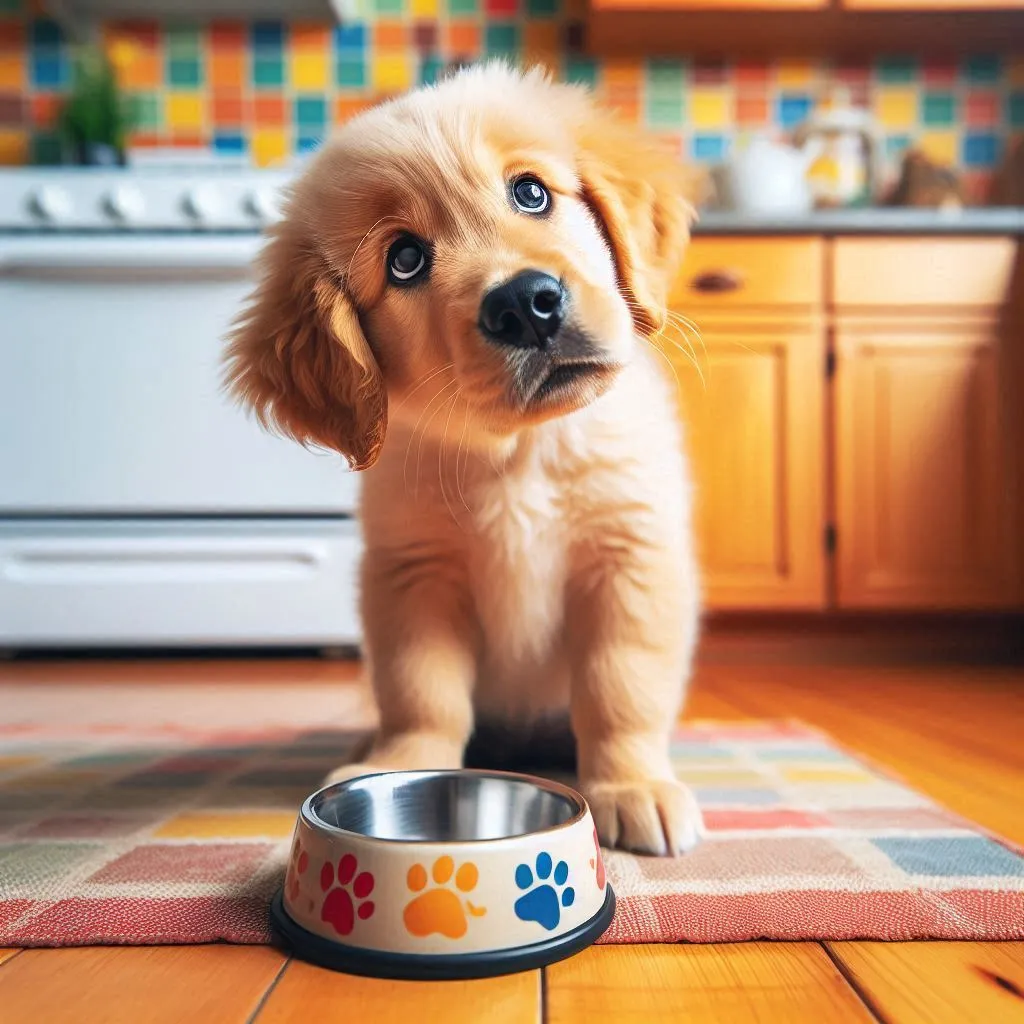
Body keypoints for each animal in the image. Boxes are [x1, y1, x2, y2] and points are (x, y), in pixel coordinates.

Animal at [224, 59, 704, 851]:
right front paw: (405, 760)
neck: (520, 452)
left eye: (531, 192)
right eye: (405, 259)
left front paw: (634, 784)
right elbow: (425, 690)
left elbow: (620, 686)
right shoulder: (416, 574)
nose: (526, 305)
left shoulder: (629, 557)